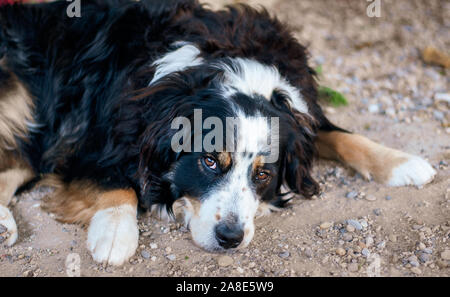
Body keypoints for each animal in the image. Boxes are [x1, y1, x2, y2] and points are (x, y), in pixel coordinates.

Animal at [0, 0, 436, 264]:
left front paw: (403, 163)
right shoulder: (88, 140)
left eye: (263, 174)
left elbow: (339, 133)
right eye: (209, 162)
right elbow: (117, 185)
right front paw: (114, 234)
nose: (230, 238)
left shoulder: (299, 112)